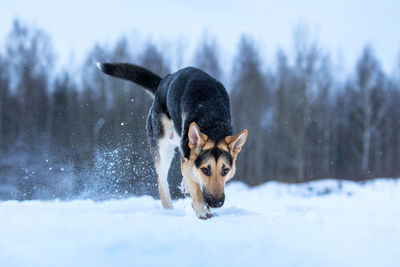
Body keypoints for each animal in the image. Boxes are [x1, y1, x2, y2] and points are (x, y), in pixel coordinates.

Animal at [97, 63, 247, 220]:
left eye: (225, 170)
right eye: (205, 169)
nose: (217, 203)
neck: (212, 123)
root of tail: (164, 82)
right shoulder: (188, 161)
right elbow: (196, 190)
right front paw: (201, 210)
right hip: (163, 149)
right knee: (161, 180)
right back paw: (169, 210)